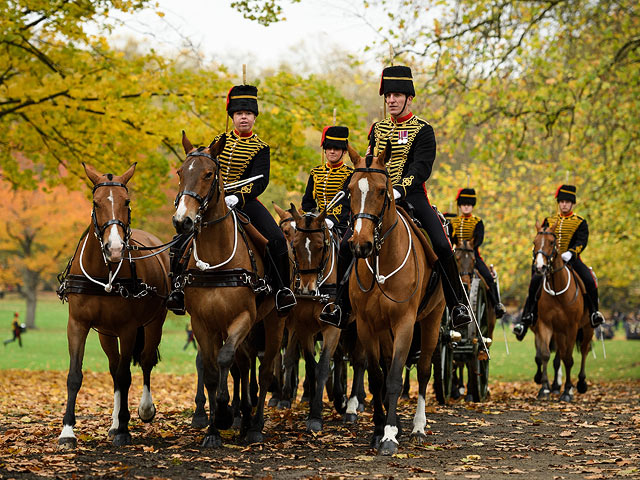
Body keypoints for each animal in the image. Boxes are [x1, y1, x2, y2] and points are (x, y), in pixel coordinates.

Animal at [57, 163, 170, 448]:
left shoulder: (128, 329)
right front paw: (67, 431)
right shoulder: (78, 324)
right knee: (114, 365)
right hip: (106, 333)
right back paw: (115, 421)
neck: (104, 273)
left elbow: (125, 375)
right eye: (96, 203)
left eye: (126, 201)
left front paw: (124, 429)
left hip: (154, 324)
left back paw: (141, 410)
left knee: (144, 360)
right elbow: (75, 376)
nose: (115, 247)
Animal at [171, 132, 284, 446]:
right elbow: (211, 369)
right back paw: (242, 418)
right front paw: (213, 429)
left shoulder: (242, 317)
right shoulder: (202, 322)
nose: (182, 221)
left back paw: (255, 426)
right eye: (180, 172)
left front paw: (223, 414)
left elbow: (224, 359)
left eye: (209, 174)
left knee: (265, 369)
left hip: (274, 322)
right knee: (243, 366)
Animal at [344, 144, 444, 456]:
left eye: (381, 190)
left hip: (432, 319)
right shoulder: (366, 325)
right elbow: (377, 377)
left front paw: (389, 435)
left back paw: (418, 427)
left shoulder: (405, 323)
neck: (381, 260)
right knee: (388, 365)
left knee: (423, 371)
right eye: (350, 189)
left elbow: (395, 378)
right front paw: (379, 430)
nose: (360, 245)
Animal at [528, 221, 592, 402]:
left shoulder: (572, 327)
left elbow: (569, 359)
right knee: (560, 355)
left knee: (584, 351)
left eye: (551, 242)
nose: (540, 267)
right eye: (534, 242)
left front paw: (567, 391)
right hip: (559, 332)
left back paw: (581, 384)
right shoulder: (545, 326)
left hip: (587, 328)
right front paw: (544, 389)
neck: (557, 292)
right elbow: (545, 355)